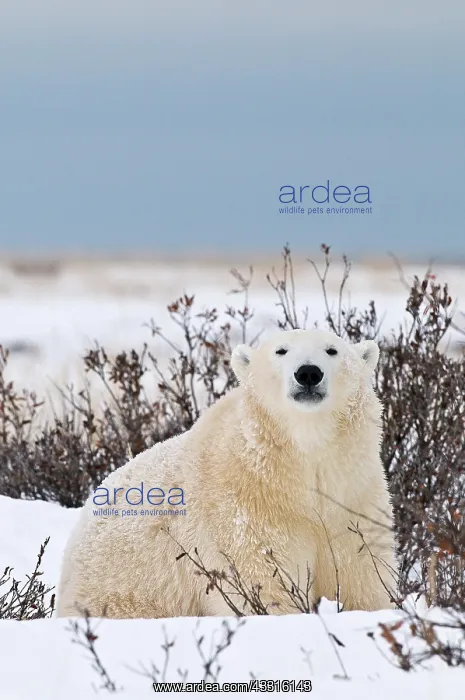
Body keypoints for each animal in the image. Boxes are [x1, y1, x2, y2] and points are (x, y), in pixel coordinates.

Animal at [57, 329, 396, 619]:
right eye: (281, 350)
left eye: (332, 350)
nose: (308, 373)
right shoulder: (246, 505)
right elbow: (263, 583)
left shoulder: (351, 496)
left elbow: (361, 575)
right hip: (123, 594)